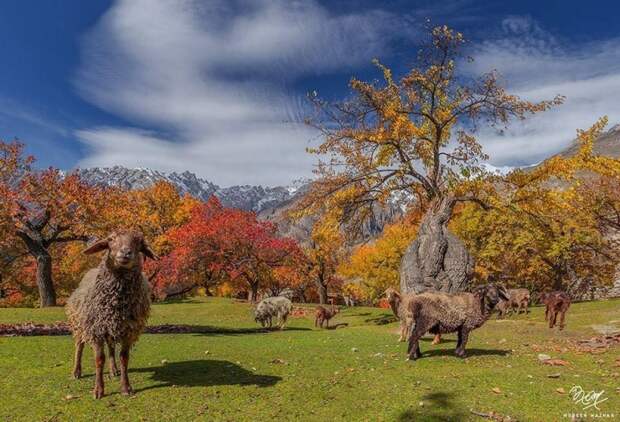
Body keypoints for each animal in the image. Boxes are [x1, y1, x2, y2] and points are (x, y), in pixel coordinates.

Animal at [65, 231, 157, 398]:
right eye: (111, 240)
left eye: (138, 242)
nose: (126, 252)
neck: (116, 303)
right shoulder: (96, 330)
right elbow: (99, 359)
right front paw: (98, 390)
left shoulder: (128, 331)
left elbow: (124, 358)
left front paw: (126, 387)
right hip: (80, 324)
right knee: (79, 346)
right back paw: (76, 371)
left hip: (111, 328)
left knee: (111, 348)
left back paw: (114, 370)